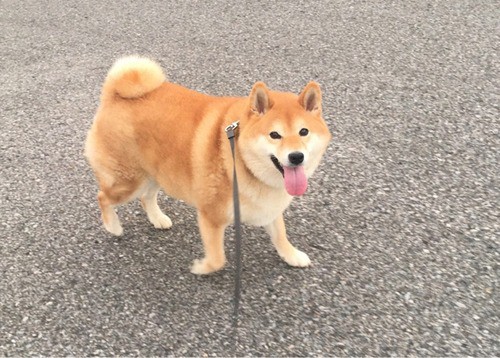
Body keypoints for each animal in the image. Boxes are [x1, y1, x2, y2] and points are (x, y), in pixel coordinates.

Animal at [85, 56, 332, 274]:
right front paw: (201, 268)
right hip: (129, 181)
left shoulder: (268, 208)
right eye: (274, 135)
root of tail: (114, 95)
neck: (240, 160)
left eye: (303, 132)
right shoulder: (211, 216)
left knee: (146, 198)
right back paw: (113, 227)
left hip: (158, 173)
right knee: (103, 197)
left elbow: (281, 235)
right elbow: (217, 259)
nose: (296, 156)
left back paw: (157, 219)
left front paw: (292, 255)